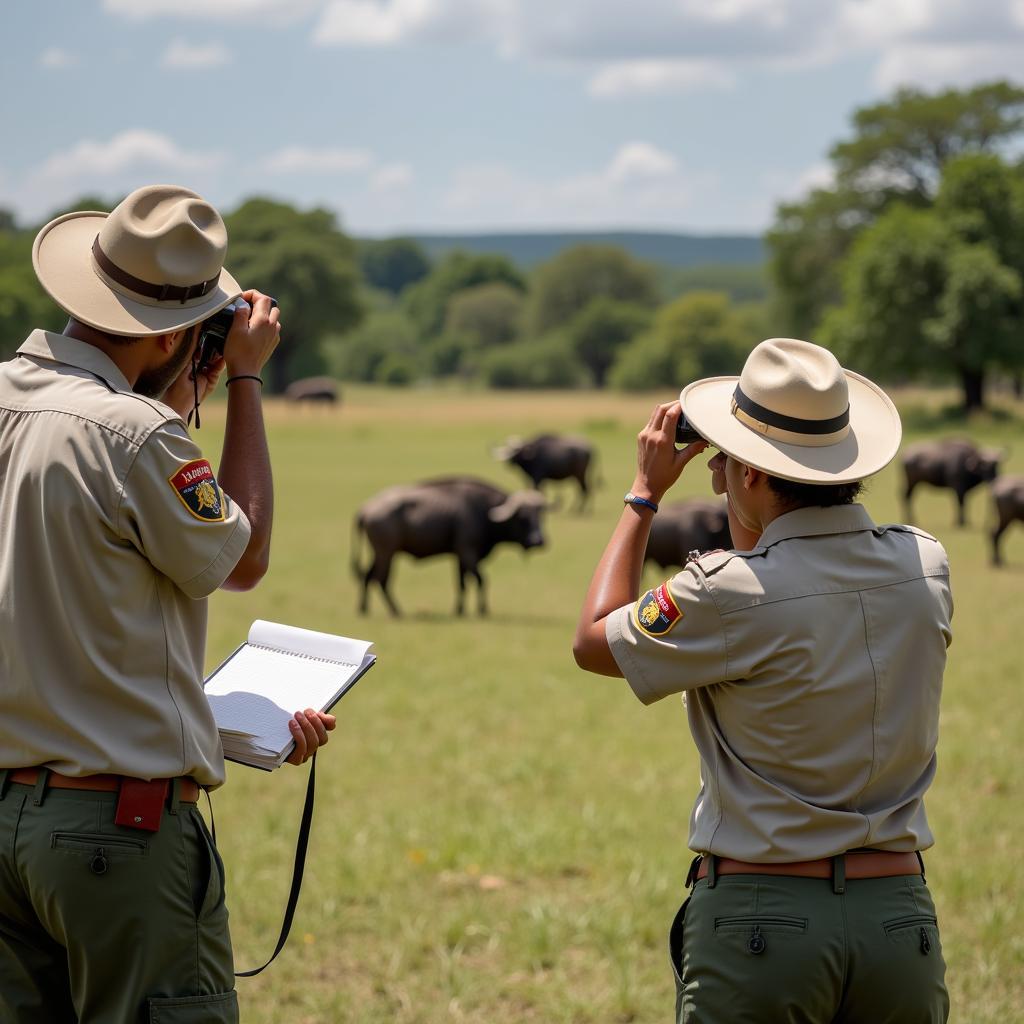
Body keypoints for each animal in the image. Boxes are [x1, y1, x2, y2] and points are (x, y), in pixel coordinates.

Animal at [352, 473, 548, 614]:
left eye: (541, 517)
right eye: (523, 518)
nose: (538, 541)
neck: (485, 512)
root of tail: (366, 508)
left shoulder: (460, 556)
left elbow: (462, 584)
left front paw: (460, 610)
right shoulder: (468, 552)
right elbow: (481, 580)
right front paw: (482, 610)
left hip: (379, 552)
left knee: (368, 576)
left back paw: (364, 609)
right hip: (386, 552)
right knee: (380, 580)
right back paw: (396, 611)